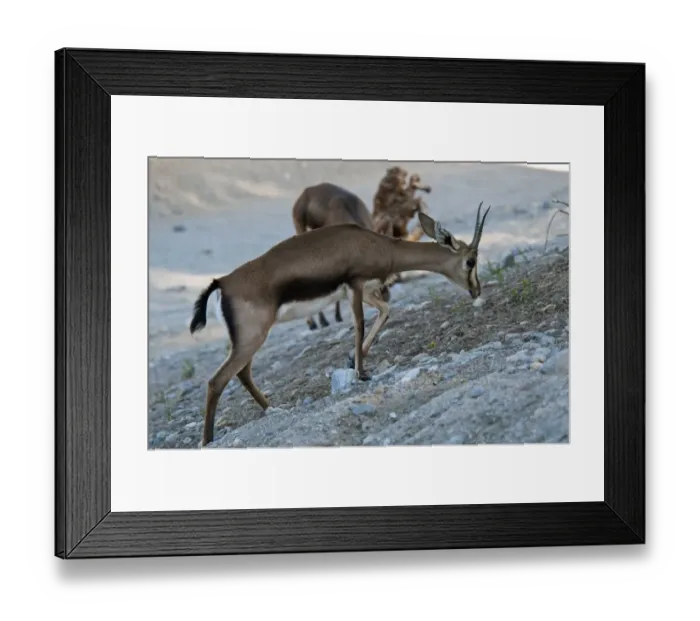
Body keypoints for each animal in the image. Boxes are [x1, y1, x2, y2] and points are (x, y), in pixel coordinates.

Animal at [190, 204, 492, 446]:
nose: (476, 290)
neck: (380, 245)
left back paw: (272, 408)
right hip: (252, 338)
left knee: (242, 373)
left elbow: (385, 312)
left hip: (249, 340)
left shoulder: (365, 291)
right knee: (217, 381)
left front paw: (351, 362)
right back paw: (208, 440)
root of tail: (223, 282)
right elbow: (359, 325)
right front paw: (362, 373)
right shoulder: (356, 286)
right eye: (470, 261)